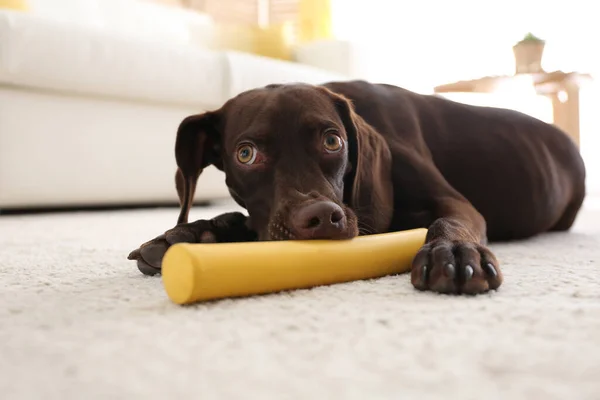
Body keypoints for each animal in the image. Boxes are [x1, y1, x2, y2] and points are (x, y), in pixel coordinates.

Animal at [127, 79, 584, 296]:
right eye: (245, 154)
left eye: (333, 141)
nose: (320, 217)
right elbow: (239, 218)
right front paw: (188, 234)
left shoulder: (455, 203)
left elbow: (449, 223)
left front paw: (453, 252)